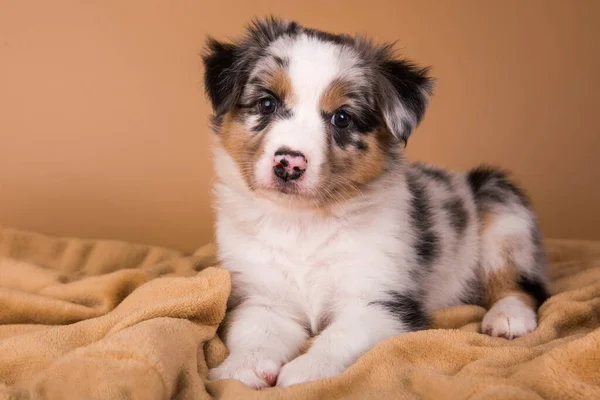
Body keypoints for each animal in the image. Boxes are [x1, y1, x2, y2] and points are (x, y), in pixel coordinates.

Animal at [203, 17, 548, 390]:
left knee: (519, 282)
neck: (303, 223)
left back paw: (508, 317)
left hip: (502, 209)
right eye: (267, 104)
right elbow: (257, 333)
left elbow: (339, 337)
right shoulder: (262, 297)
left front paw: (307, 372)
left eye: (342, 118)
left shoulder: (380, 301)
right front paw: (241, 368)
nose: (289, 164)